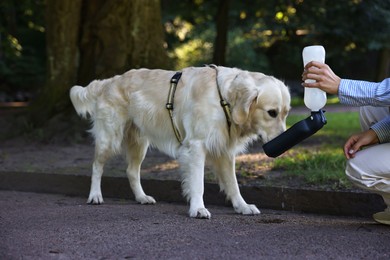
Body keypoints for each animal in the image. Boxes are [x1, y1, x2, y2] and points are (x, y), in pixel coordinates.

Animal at [69, 66, 290, 218]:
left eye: (286, 113)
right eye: (271, 112)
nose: (285, 145)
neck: (224, 99)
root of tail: (109, 81)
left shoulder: (224, 151)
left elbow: (233, 184)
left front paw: (242, 206)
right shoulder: (196, 146)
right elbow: (198, 183)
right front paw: (198, 208)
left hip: (139, 143)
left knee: (131, 171)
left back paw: (142, 197)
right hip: (110, 137)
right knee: (96, 165)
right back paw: (95, 196)